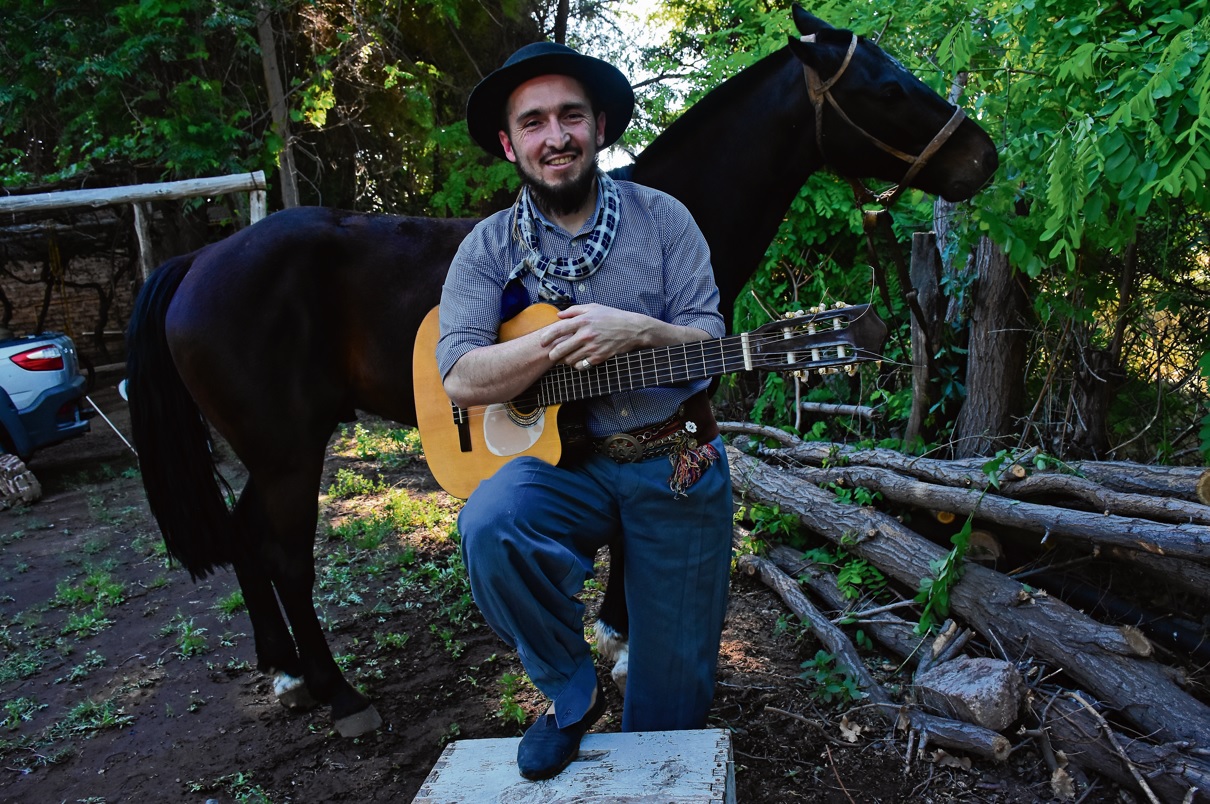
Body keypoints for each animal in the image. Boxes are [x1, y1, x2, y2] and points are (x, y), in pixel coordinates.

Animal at [122, 6, 997, 736]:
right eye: (887, 86)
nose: (982, 159)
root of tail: (196, 261)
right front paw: (620, 635)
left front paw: (613, 627)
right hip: (288, 454)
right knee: (283, 555)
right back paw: (338, 693)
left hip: (273, 452)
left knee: (244, 537)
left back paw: (284, 671)